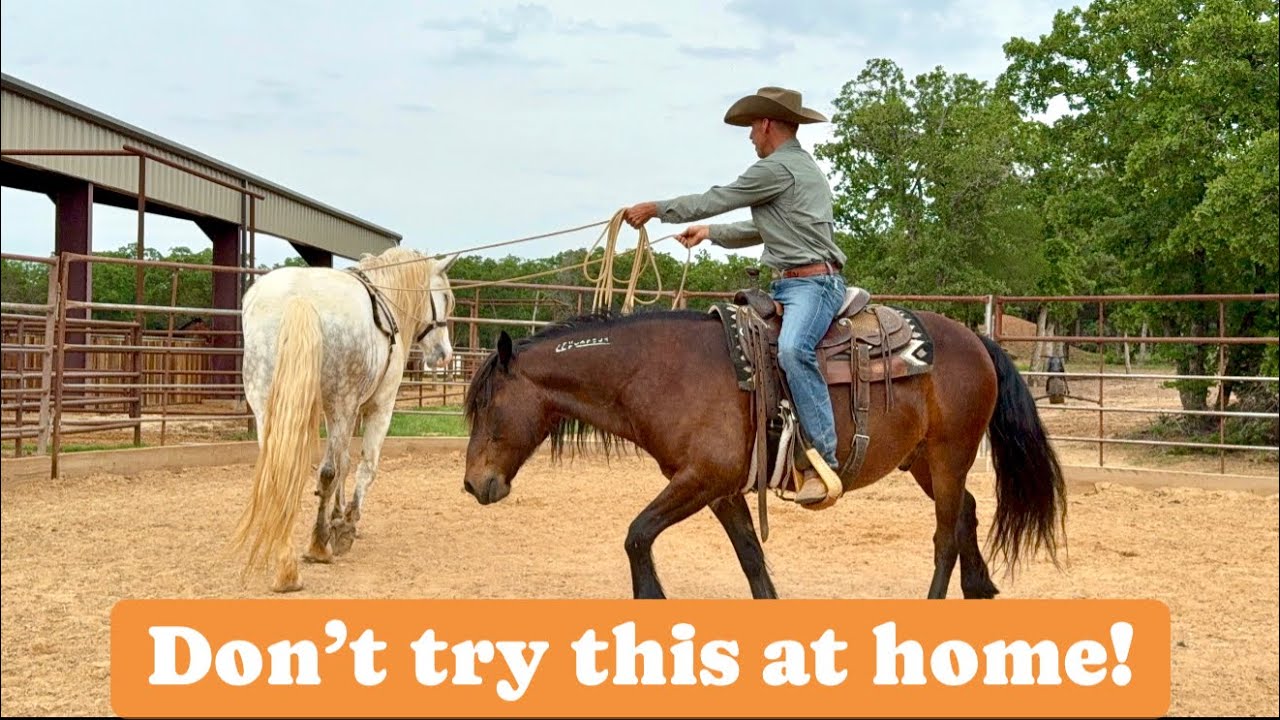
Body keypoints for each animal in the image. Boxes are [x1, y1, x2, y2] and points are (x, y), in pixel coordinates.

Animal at [232, 246, 457, 593]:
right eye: (445, 296)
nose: (445, 355)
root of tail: (299, 298)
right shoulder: (377, 406)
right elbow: (363, 466)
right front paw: (347, 523)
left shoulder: (343, 411)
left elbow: (344, 464)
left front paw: (336, 516)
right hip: (339, 402)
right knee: (326, 472)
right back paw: (317, 547)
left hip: (266, 406)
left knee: (279, 473)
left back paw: (286, 566)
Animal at [460, 301, 1067, 600]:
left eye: (488, 407)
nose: (474, 483)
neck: (660, 372)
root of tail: (975, 339)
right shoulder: (719, 490)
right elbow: (751, 557)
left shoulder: (700, 479)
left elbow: (636, 536)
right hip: (923, 460)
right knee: (965, 513)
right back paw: (979, 588)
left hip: (948, 454)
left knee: (944, 536)